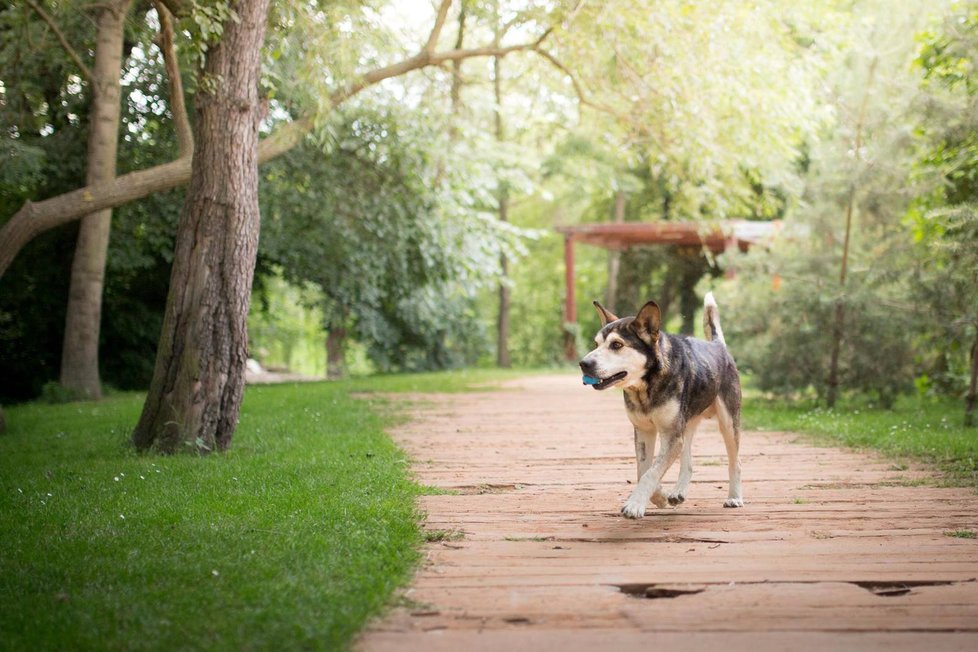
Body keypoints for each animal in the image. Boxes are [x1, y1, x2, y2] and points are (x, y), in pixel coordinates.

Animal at [576, 292, 744, 520]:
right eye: (596, 344)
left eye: (617, 345)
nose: (583, 364)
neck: (645, 386)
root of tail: (719, 346)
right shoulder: (645, 432)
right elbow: (644, 470)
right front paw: (660, 497)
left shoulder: (671, 435)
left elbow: (651, 473)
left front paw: (635, 504)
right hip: (686, 425)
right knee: (688, 462)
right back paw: (678, 492)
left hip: (727, 423)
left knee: (735, 462)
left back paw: (734, 497)